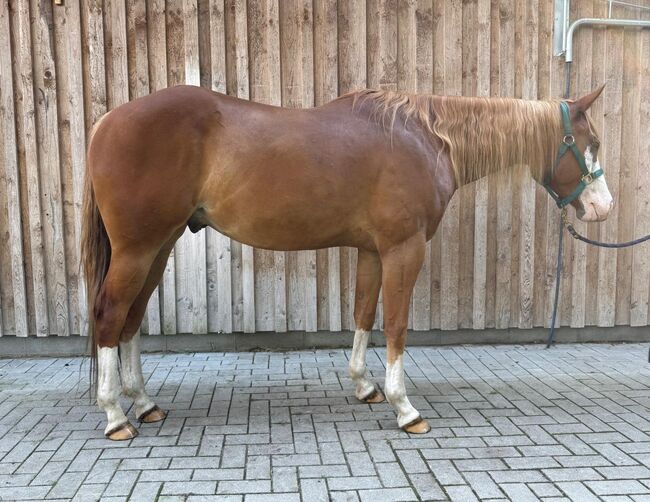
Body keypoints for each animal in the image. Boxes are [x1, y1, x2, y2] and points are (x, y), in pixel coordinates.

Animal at [82, 85, 613, 440]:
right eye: (590, 144)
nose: (602, 209)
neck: (426, 140)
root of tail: (106, 121)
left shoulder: (373, 250)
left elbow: (363, 313)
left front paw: (364, 386)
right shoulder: (405, 248)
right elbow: (396, 324)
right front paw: (405, 408)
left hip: (159, 245)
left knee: (131, 318)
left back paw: (144, 403)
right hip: (139, 248)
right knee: (110, 314)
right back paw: (114, 416)